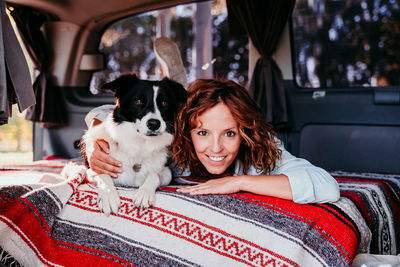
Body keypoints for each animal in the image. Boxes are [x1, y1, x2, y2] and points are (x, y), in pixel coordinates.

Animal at [82, 74, 188, 216]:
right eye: (138, 101)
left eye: (164, 103)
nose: (154, 124)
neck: (139, 143)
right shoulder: (92, 170)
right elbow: (103, 175)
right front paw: (108, 195)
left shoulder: (167, 172)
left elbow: (154, 174)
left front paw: (145, 193)